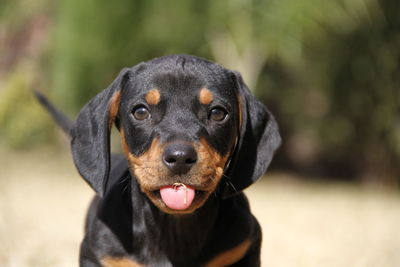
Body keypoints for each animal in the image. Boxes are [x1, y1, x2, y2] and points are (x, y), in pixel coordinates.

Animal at [36, 55, 282, 267]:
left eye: (218, 113)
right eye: (141, 111)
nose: (180, 157)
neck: (174, 229)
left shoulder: (244, 248)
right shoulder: (98, 256)